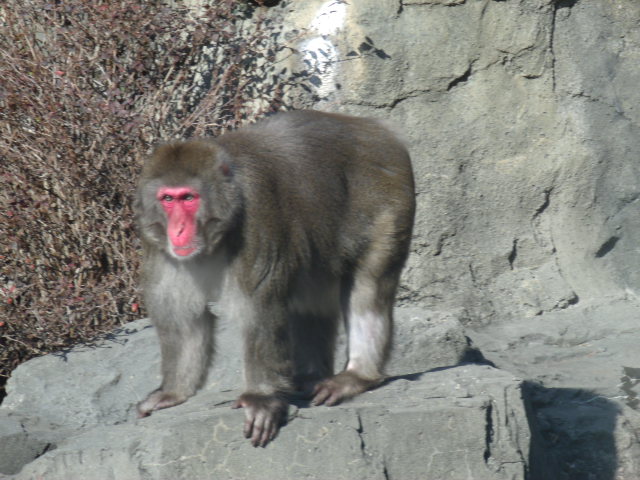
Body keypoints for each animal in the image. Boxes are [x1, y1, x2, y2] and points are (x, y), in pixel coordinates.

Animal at [134, 110, 415, 447]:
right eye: (167, 199)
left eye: (188, 198)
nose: (177, 230)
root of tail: (376, 127)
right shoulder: (157, 244)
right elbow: (183, 322)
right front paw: (173, 392)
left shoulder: (258, 219)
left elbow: (259, 310)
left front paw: (261, 399)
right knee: (309, 300)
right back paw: (308, 377)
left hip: (388, 195)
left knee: (368, 286)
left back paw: (358, 375)